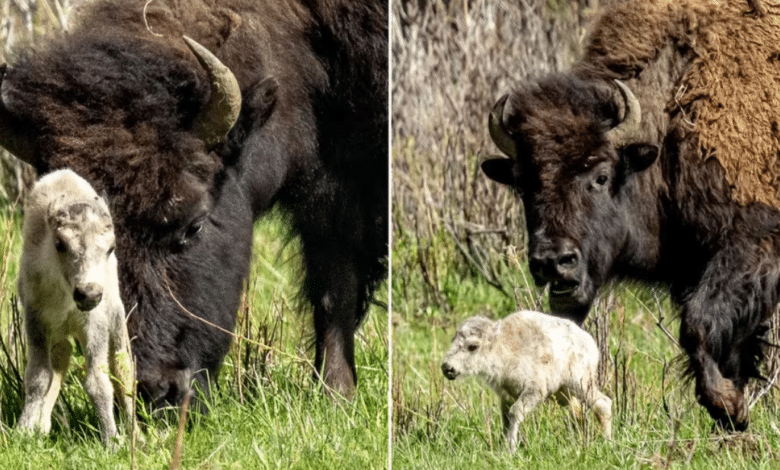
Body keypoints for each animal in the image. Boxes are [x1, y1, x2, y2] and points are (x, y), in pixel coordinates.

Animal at [0, 0, 386, 410]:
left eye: (195, 224)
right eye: (60, 242)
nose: (155, 392)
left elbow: (336, 289)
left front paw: (335, 395)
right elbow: (332, 286)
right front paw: (336, 395)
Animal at [17, 170, 134, 448]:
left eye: (111, 247)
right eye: (60, 244)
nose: (88, 294)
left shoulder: (95, 325)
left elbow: (99, 382)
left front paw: (112, 441)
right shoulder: (36, 321)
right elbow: (38, 377)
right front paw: (25, 430)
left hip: (117, 320)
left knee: (123, 369)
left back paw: (141, 434)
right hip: (59, 333)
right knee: (61, 359)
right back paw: (42, 426)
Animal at [442, 308, 612, 452]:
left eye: (472, 346)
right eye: (453, 340)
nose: (447, 368)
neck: (503, 347)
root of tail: (590, 343)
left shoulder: (534, 390)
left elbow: (515, 413)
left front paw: (510, 448)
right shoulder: (506, 396)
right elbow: (506, 419)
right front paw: (503, 446)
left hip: (580, 383)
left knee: (603, 403)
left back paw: (606, 441)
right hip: (564, 394)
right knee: (578, 413)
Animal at [482, 0, 780, 430]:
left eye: (601, 176)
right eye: (522, 185)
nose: (554, 262)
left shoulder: (752, 245)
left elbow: (698, 325)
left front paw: (728, 406)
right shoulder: (696, 267)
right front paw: (733, 412)